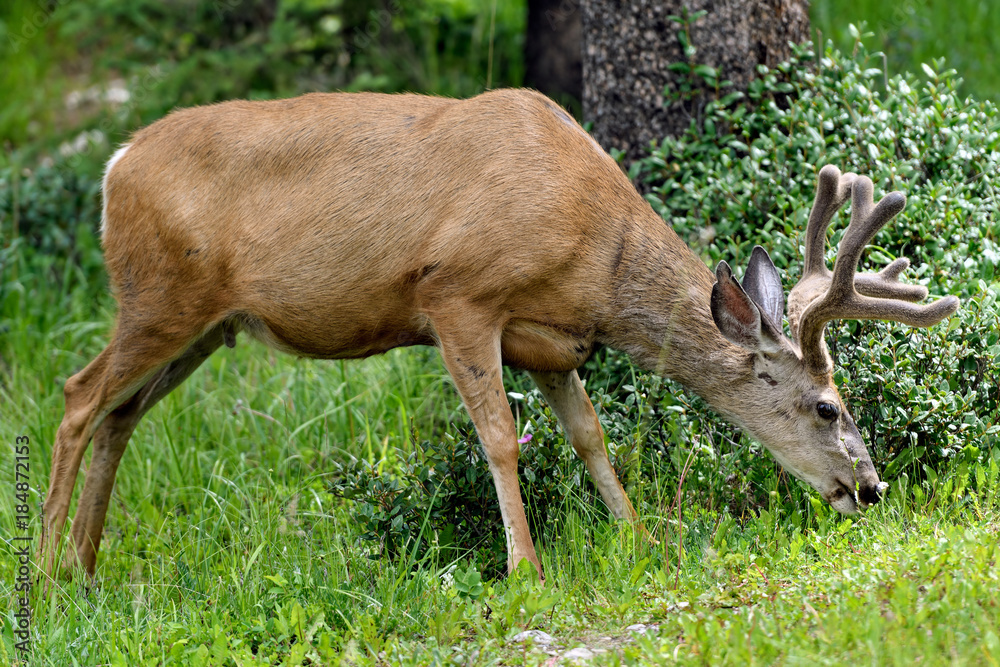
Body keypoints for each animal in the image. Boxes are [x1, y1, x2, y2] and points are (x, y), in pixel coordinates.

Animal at [39, 88, 959, 584]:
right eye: (827, 405)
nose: (870, 488)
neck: (593, 248)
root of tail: (115, 166)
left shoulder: (551, 337)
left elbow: (589, 434)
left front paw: (637, 535)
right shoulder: (457, 293)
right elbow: (501, 439)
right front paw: (528, 568)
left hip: (207, 324)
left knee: (121, 415)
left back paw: (87, 564)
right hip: (160, 296)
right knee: (78, 397)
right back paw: (46, 570)